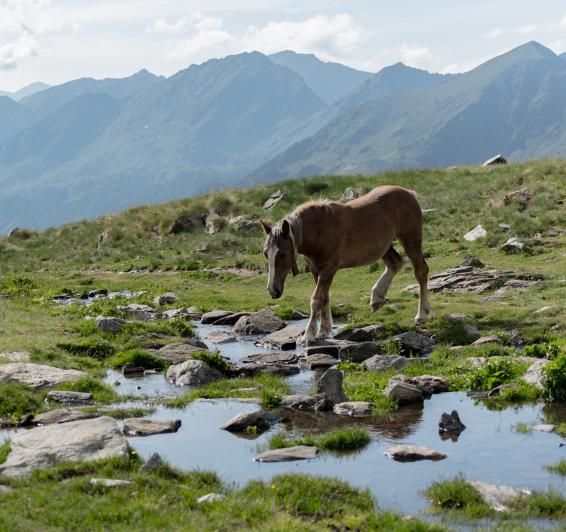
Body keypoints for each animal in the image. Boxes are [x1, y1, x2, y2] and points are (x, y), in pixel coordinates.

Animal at [260, 186, 430, 344]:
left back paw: (422, 314)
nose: (273, 290)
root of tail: (408, 193)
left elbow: (316, 299)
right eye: (266, 253)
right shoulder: (316, 270)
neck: (319, 229)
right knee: (395, 263)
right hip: (385, 246)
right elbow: (325, 297)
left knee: (421, 271)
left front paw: (308, 335)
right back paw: (377, 298)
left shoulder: (328, 269)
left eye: (283, 254)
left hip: (410, 239)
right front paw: (324, 331)